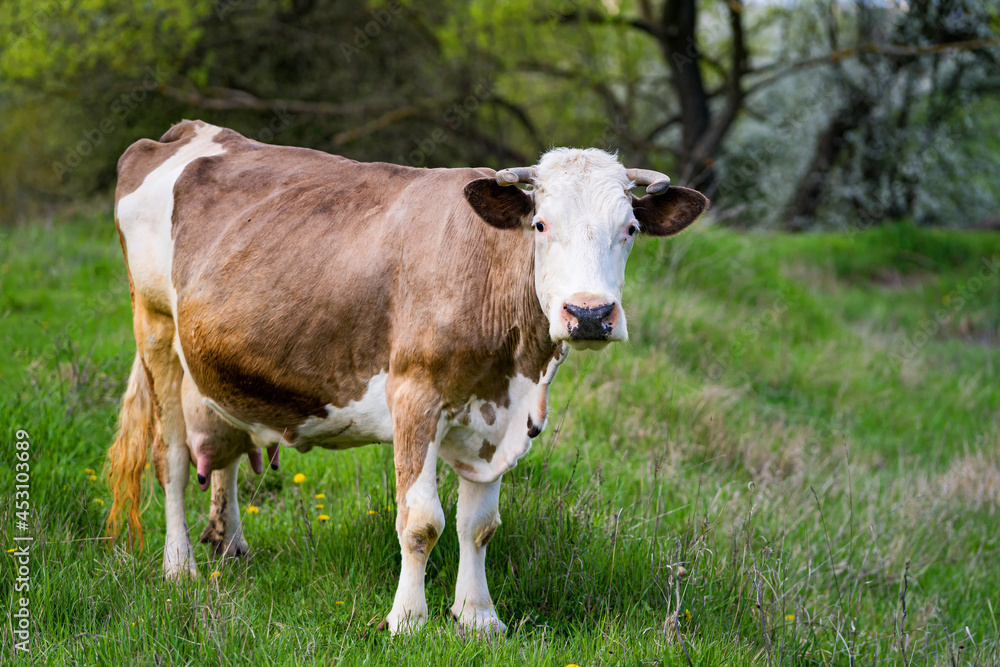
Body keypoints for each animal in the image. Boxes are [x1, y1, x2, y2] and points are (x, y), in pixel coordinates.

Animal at [105, 120, 708, 636]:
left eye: (630, 228)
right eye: (540, 224)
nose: (589, 313)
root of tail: (185, 132)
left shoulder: (498, 418)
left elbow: (478, 523)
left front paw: (478, 617)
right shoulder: (415, 397)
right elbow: (421, 521)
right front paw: (408, 620)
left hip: (216, 360)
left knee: (223, 448)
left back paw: (228, 544)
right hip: (154, 327)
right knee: (172, 457)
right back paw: (179, 564)